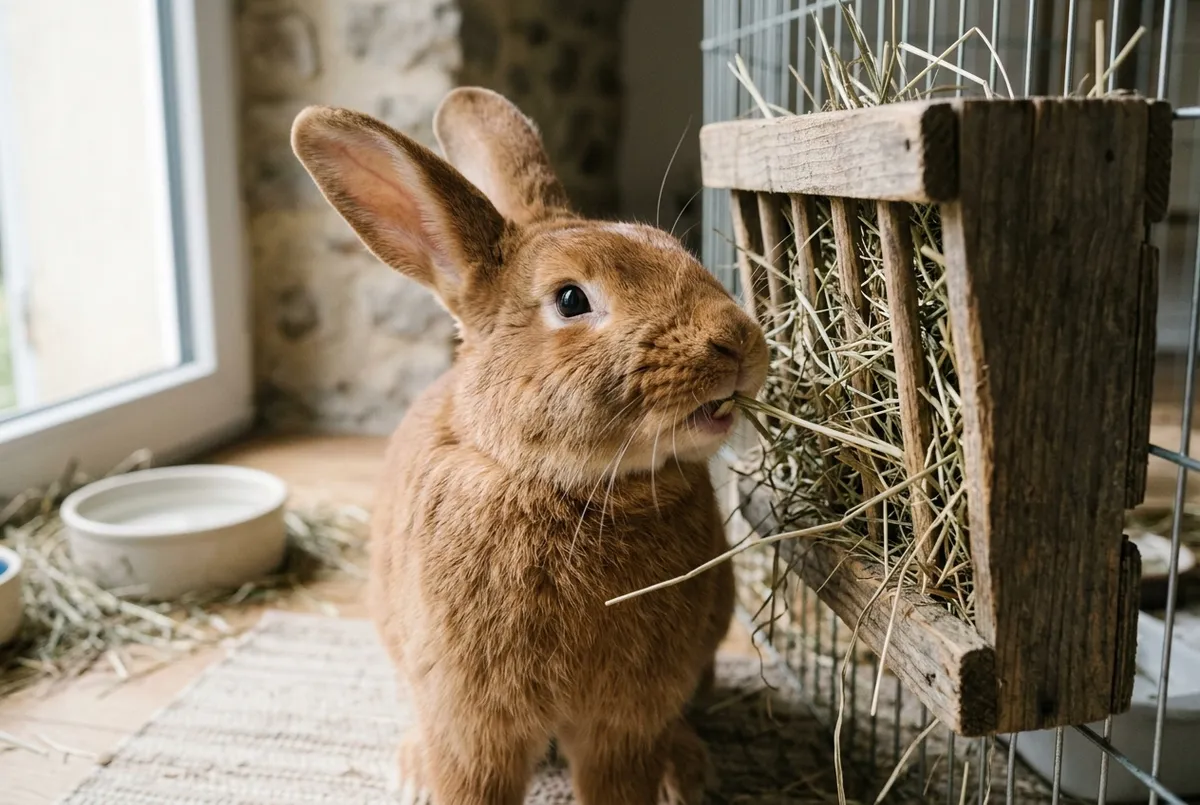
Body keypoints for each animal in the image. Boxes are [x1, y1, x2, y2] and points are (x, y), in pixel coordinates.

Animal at [291, 87, 768, 805]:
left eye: (674, 249)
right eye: (571, 299)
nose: (736, 340)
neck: (570, 487)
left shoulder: (626, 721)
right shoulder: (472, 720)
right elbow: (471, 779)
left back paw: (683, 774)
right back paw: (413, 771)